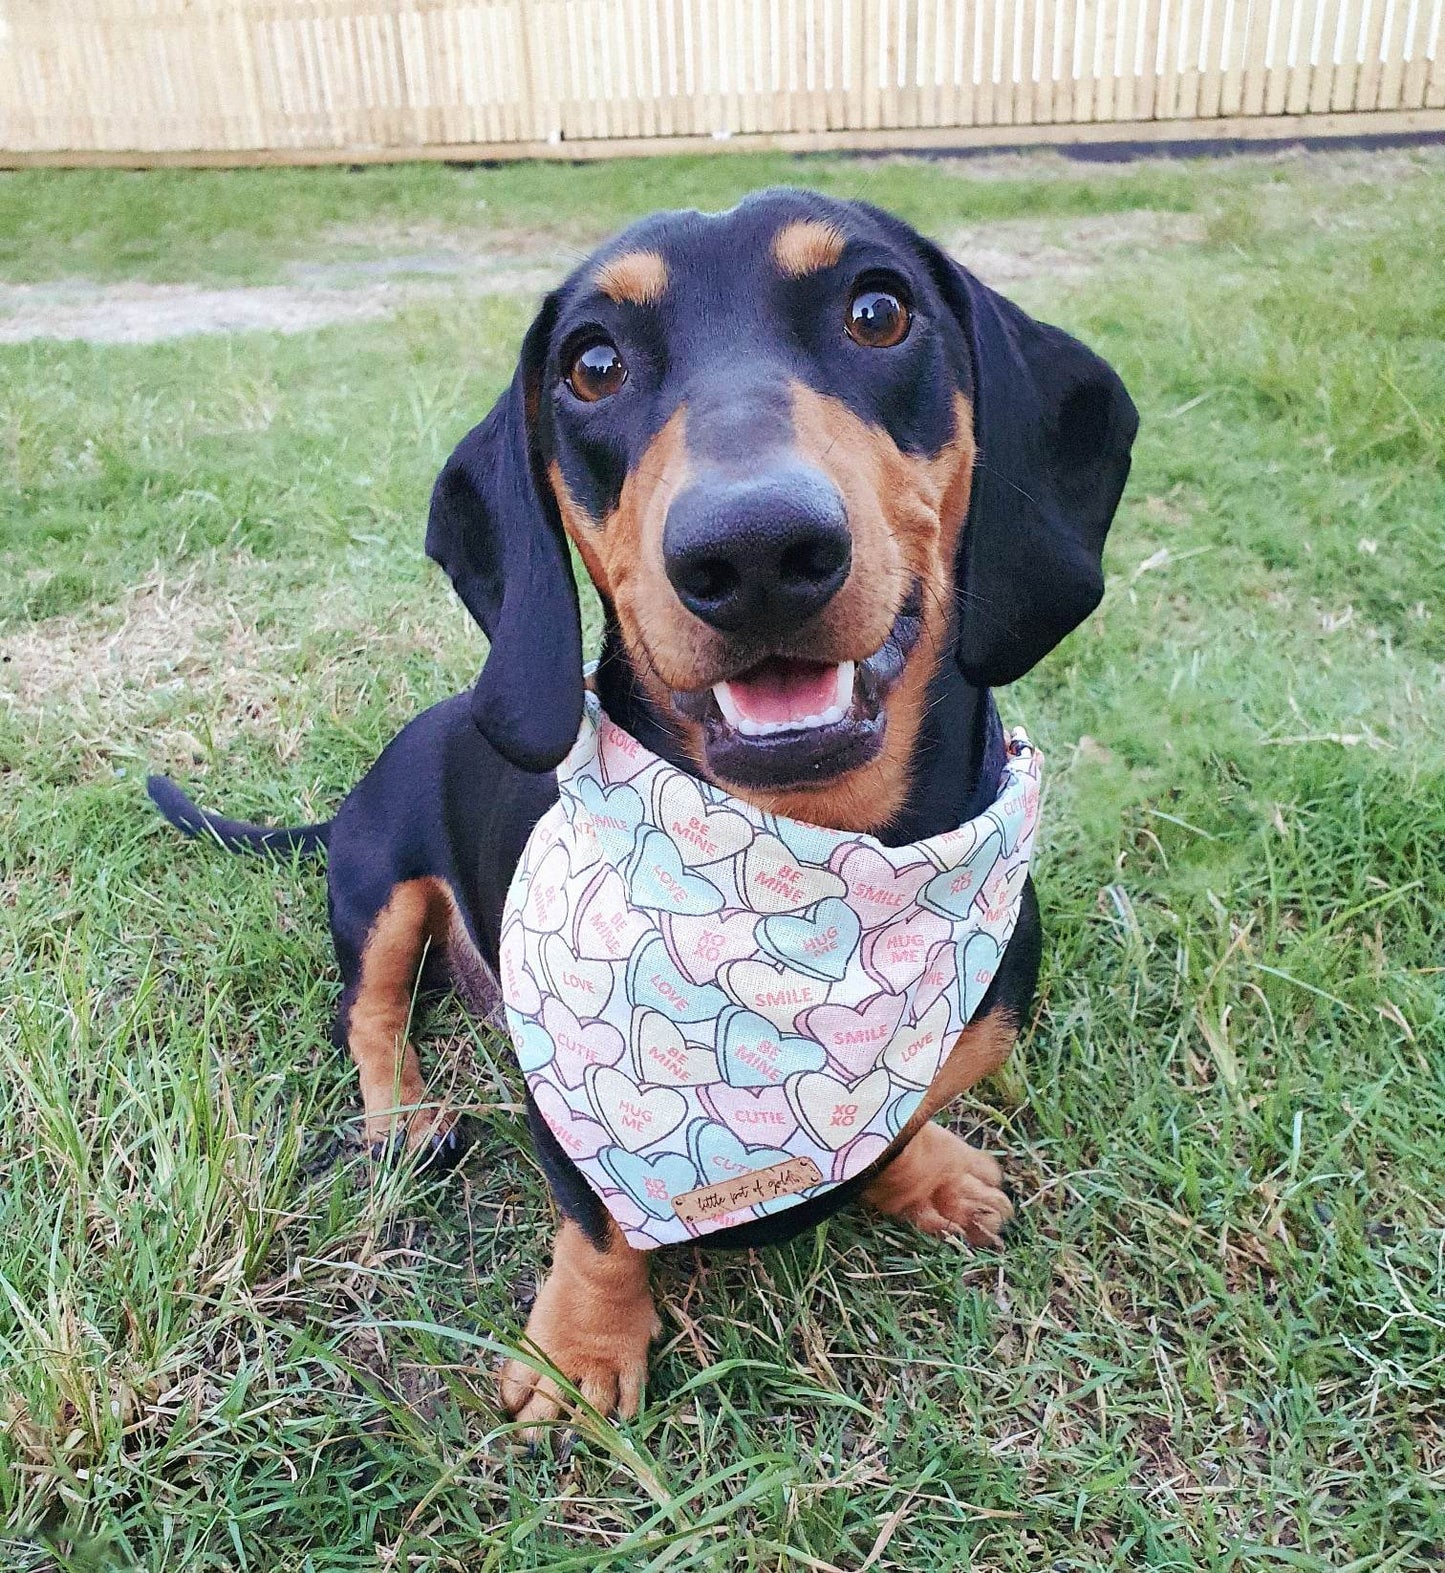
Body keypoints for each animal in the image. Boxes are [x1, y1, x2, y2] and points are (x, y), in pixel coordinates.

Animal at [149, 190, 1138, 1434]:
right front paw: (580, 1347)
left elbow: (905, 1115)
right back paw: (403, 1117)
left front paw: (929, 1173)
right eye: (591, 364)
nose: (755, 549)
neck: (809, 876)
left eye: (877, 309)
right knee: (367, 1017)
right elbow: (597, 1222)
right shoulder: (565, 1092)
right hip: (379, 887)